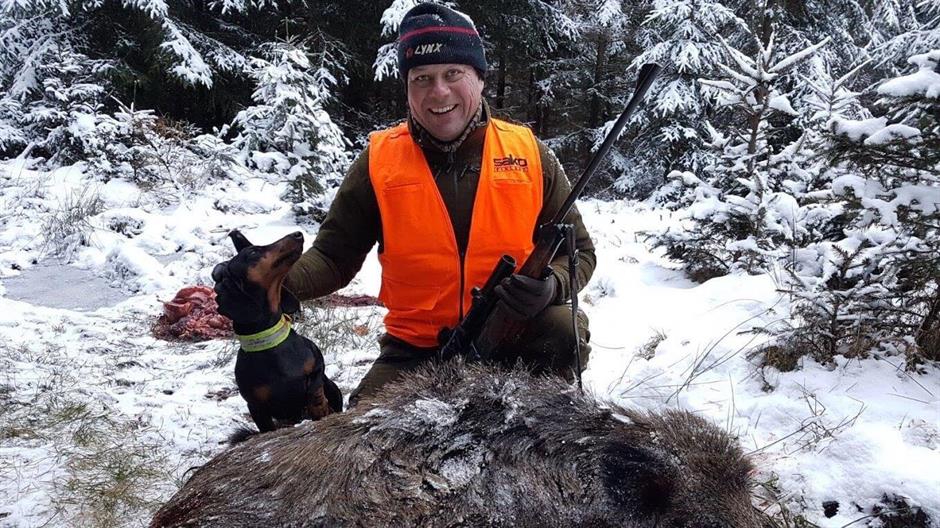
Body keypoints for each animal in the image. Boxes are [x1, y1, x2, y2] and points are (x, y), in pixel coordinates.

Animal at [211, 230, 342, 436]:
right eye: (253, 252)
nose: (298, 234)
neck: (270, 342)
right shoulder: (256, 407)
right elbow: (266, 427)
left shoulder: (317, 362)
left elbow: (315, 387)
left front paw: (320, 406)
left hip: (333, 388)